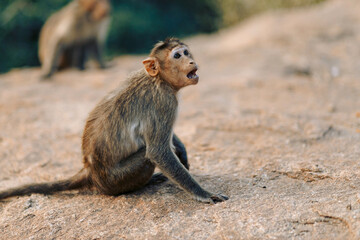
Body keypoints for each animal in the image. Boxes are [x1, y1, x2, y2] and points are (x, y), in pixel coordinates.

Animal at [0, 38, 229, 203]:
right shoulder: (164, 101)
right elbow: (158, 151)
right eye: (177, 55)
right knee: (146, 157)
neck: (158, 79)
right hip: (116, 180)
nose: (190, 61)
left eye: (186, 52)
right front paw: (203, 193)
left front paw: (181, 149)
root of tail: (89, 171)